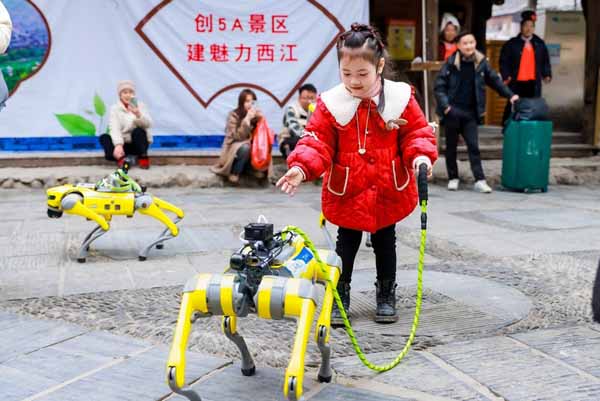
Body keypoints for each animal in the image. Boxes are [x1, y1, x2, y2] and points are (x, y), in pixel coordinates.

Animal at [47, 165, 184, 262]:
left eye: (52, 197)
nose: (51, 213)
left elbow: (103, 225)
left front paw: (81, 256)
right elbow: (102, 225)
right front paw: (86, 245)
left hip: (144, 205)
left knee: (172, 226)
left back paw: (147, 251)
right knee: (175, 217)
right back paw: (162, 240)